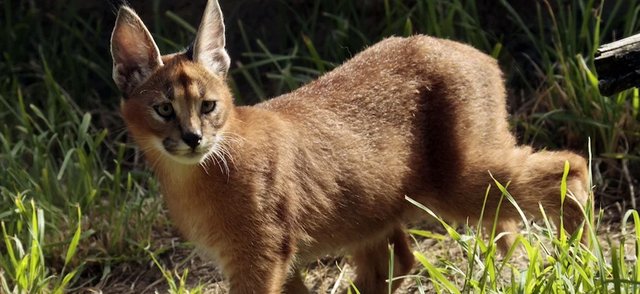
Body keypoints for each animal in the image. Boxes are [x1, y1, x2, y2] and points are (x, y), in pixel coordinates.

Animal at [110, 0, 592, 292]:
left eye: (208, 105)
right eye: (163, 109)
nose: (193, 138)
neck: (195, 175)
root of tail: (476, 53)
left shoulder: (259, 257)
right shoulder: (270, 260)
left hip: (458, 181)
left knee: (570, 168)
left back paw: (582, 258)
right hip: (375, 206)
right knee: (402, 259)